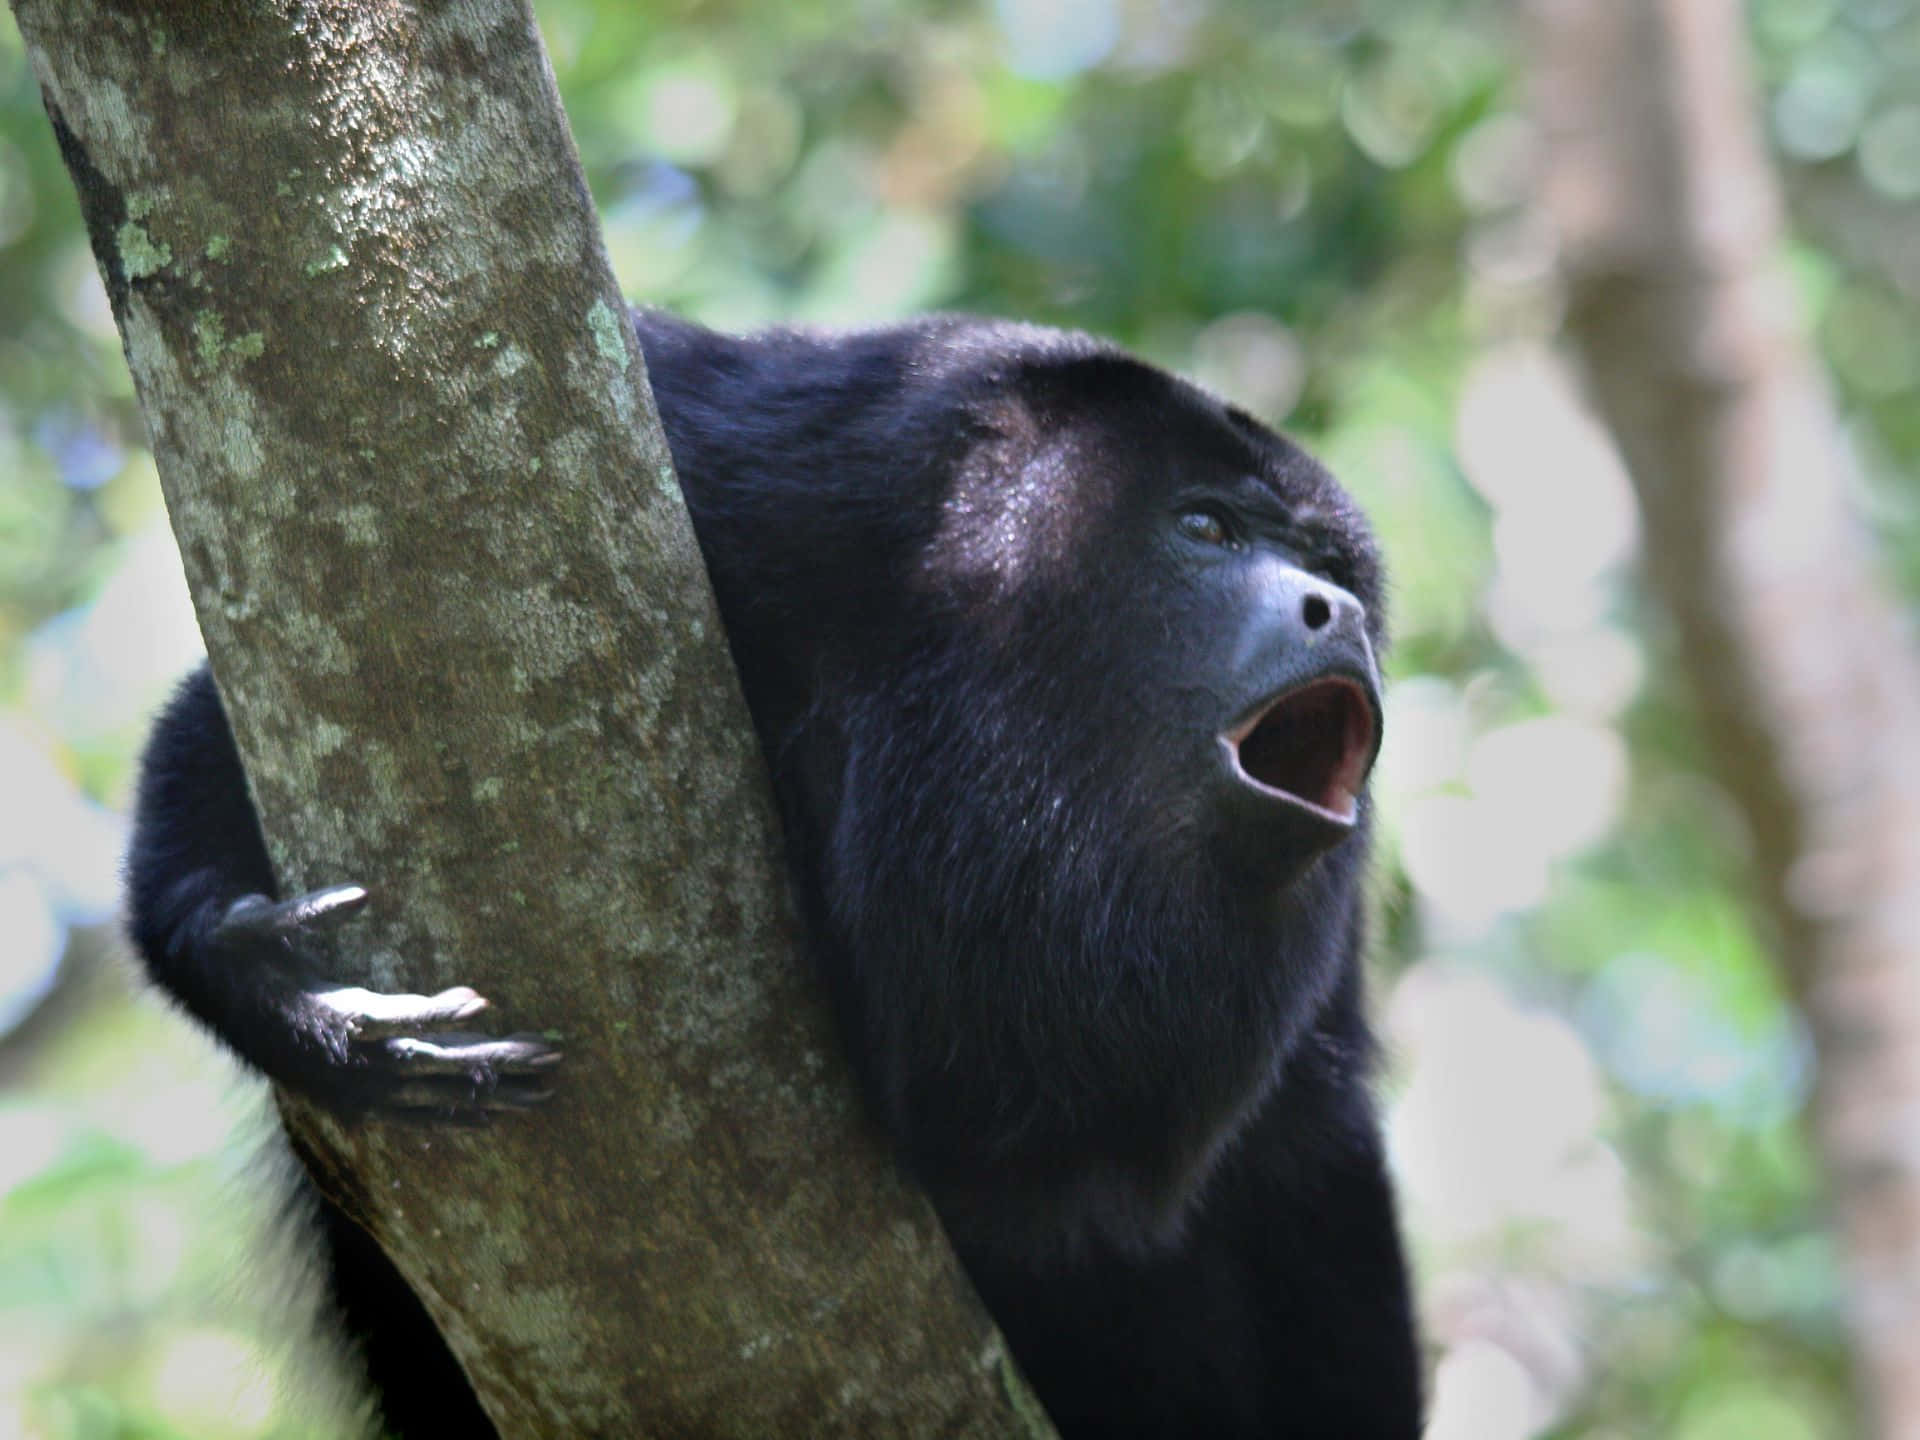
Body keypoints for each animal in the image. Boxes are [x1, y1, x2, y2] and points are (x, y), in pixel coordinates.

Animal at [127, 311, 1420, 1436]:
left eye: (1324, 560)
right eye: (1205, 529)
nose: (1339, 609)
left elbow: (1315, 1151)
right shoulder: (775, 481)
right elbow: (244, 698)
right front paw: (275, 989)